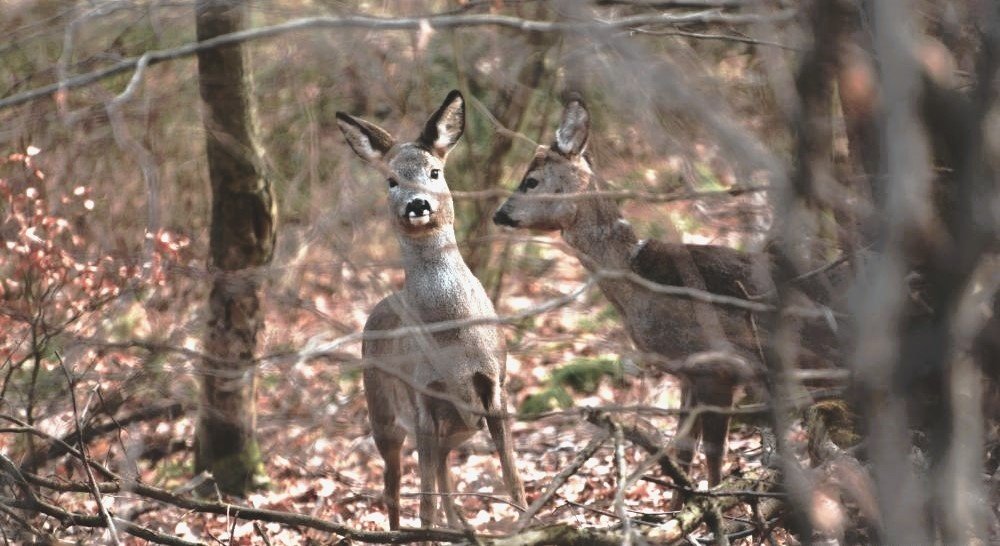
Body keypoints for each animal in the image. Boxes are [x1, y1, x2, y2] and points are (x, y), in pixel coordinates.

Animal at [338, 90, 528, 528]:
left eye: (435, 171)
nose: (417, 204)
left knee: (443, 477)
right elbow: (422, 504)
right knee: (393, 489)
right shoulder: (422, 398)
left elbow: (513, 480)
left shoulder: (496, 386)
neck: (453, 335)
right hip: (381, 410)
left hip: (457, 427)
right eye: (391, 180)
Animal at [494, 94, 844, 502]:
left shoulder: (718, 366)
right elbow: (682, 449)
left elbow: (713, 452)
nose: (498, 213)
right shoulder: (686, 373)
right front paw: (682, 506)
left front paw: (714, 504)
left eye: (530, 181)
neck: (636, 280)